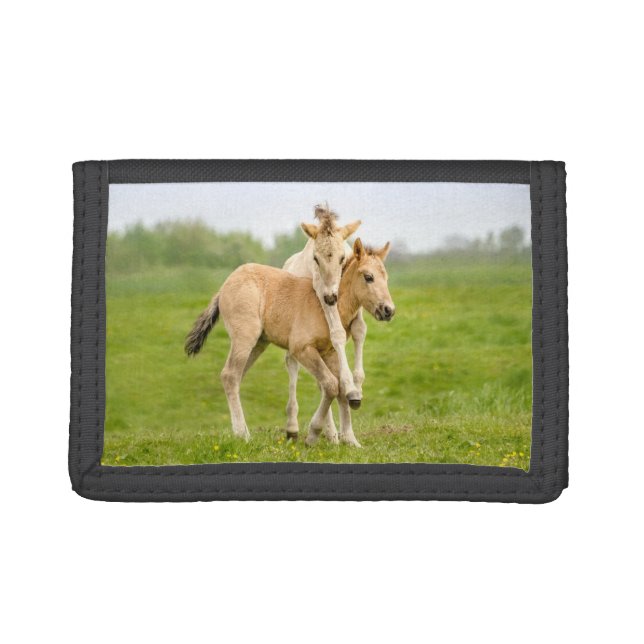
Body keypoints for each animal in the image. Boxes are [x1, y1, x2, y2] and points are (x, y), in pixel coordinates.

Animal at [185, 238, 394, 447]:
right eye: (368, 277)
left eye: (386, 277)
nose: (388, 310)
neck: (326, 307)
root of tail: (224, 287)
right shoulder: (301, 349)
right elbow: (330, 385)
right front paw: (313, 434)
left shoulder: (329, 353)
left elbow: (342, 387)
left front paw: (350, 440)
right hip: (244, 338)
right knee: (230, 375)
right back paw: (242, 435)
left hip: (258, 344)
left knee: (234, 377)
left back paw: (241, 430)